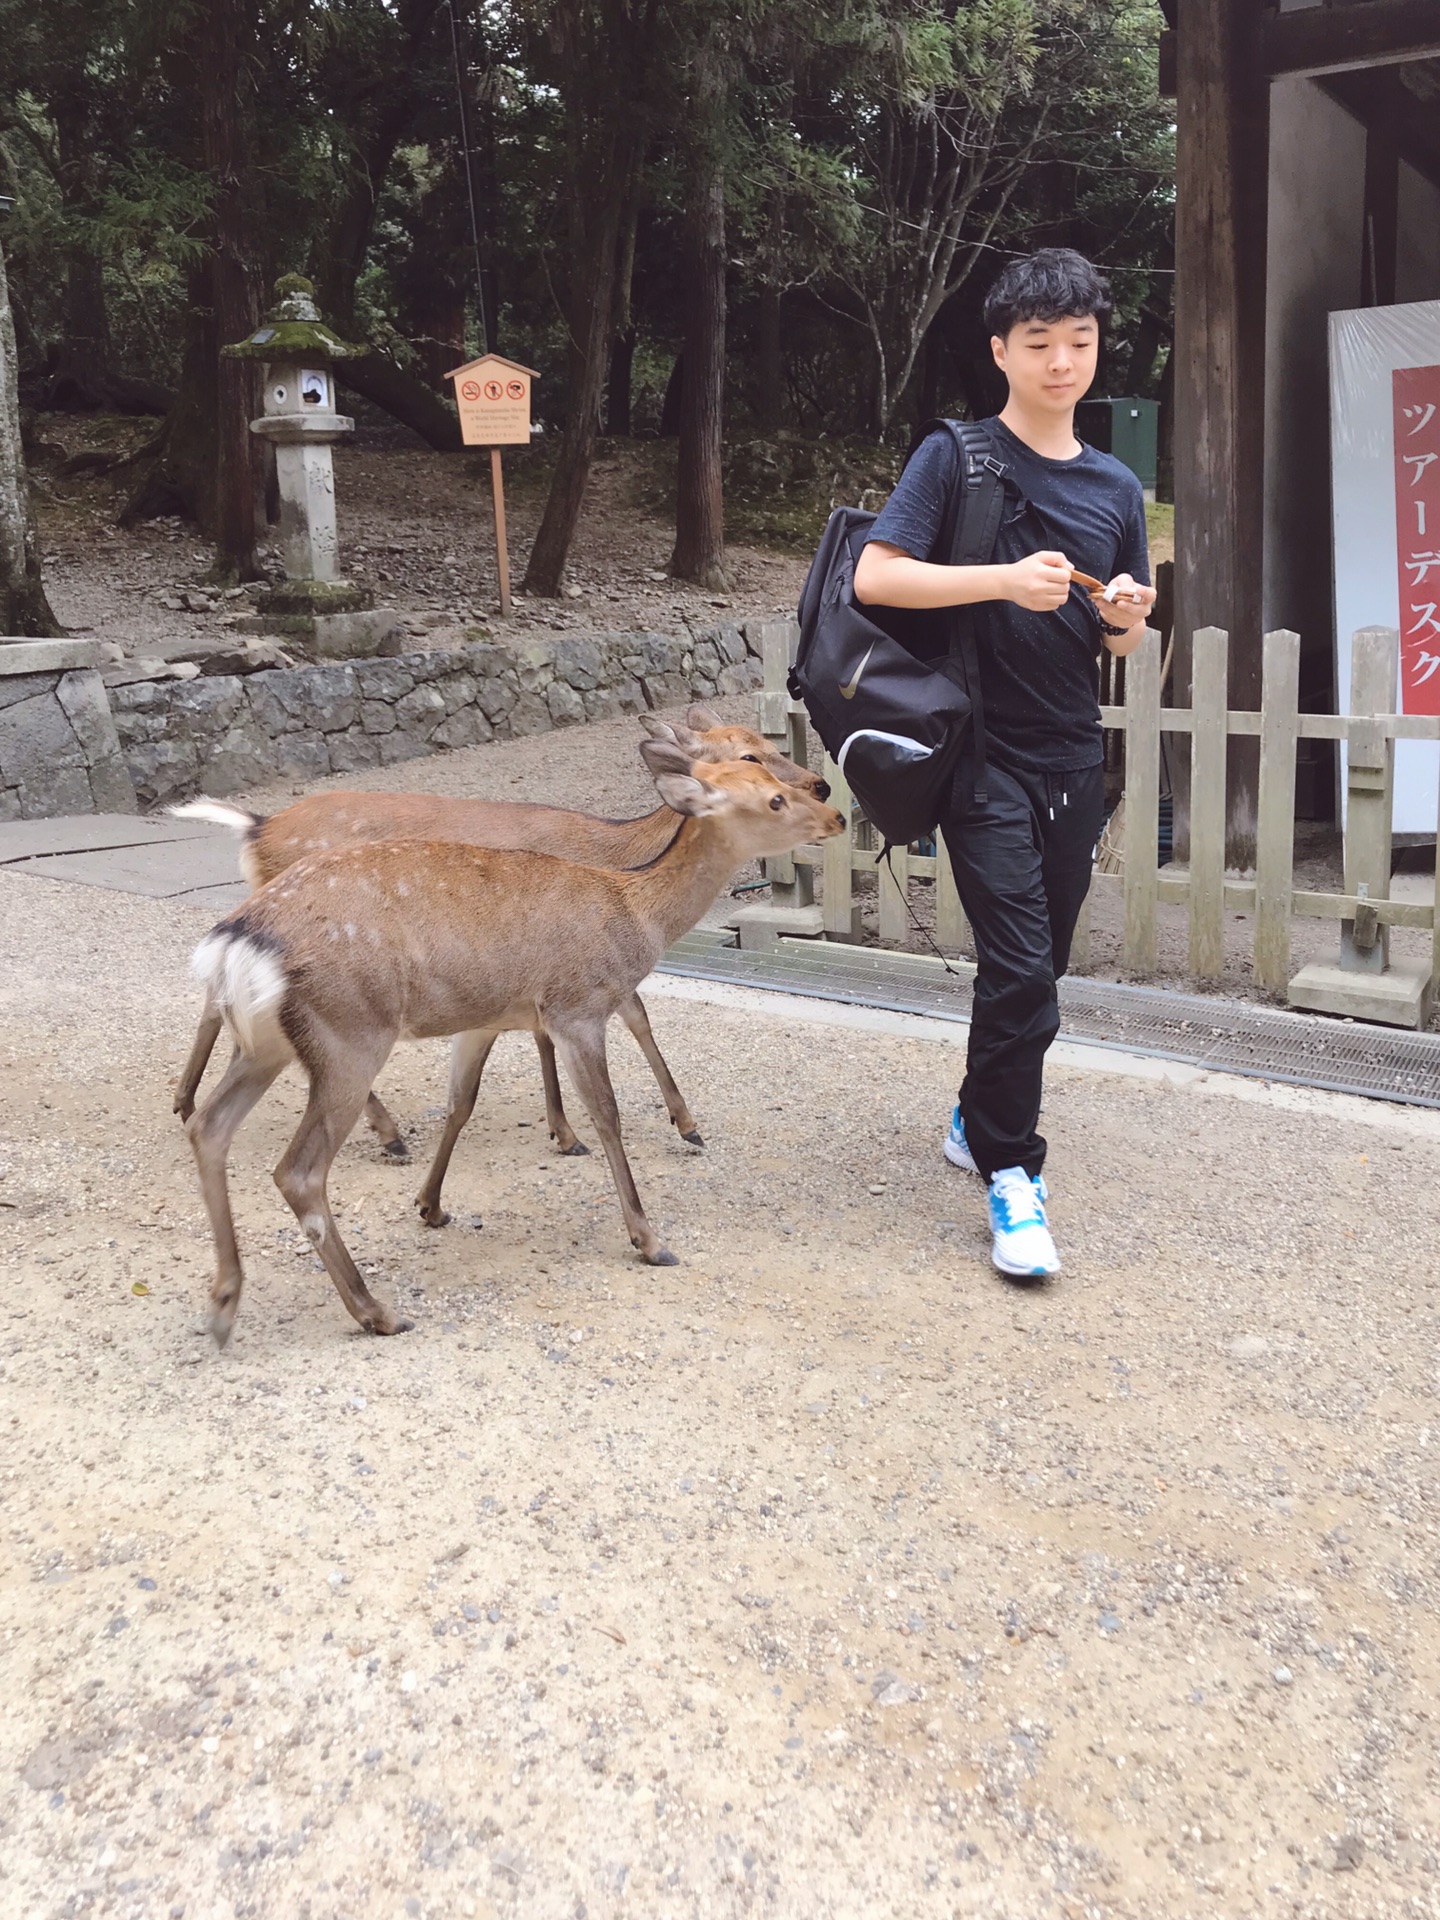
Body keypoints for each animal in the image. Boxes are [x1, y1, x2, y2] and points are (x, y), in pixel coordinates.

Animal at [168, 706, 821, 1152]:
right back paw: (386, 1131)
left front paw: (658, 1124)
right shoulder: (568, 954)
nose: (817, 784)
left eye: (764, 740)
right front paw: (603, 1129)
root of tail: (257, 828)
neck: (621, 858)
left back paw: (184, 1100)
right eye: (749, 758)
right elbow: (613, 1020)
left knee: (215, 990)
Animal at [186, 741, 852, 1344]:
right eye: (771, 795)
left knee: (208, 1127)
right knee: (297, 1171)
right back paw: (376, 1310)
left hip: (269, 1045)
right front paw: (649, 1237)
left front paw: (431, 1205)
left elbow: (460, 1102)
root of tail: (237, 939)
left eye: (776, 776)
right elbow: (607, 1115)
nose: (835, 813)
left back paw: (223, 1302)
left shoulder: (483, 1018)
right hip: (350, 1034)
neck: (634, 910)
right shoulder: (578, 1006)